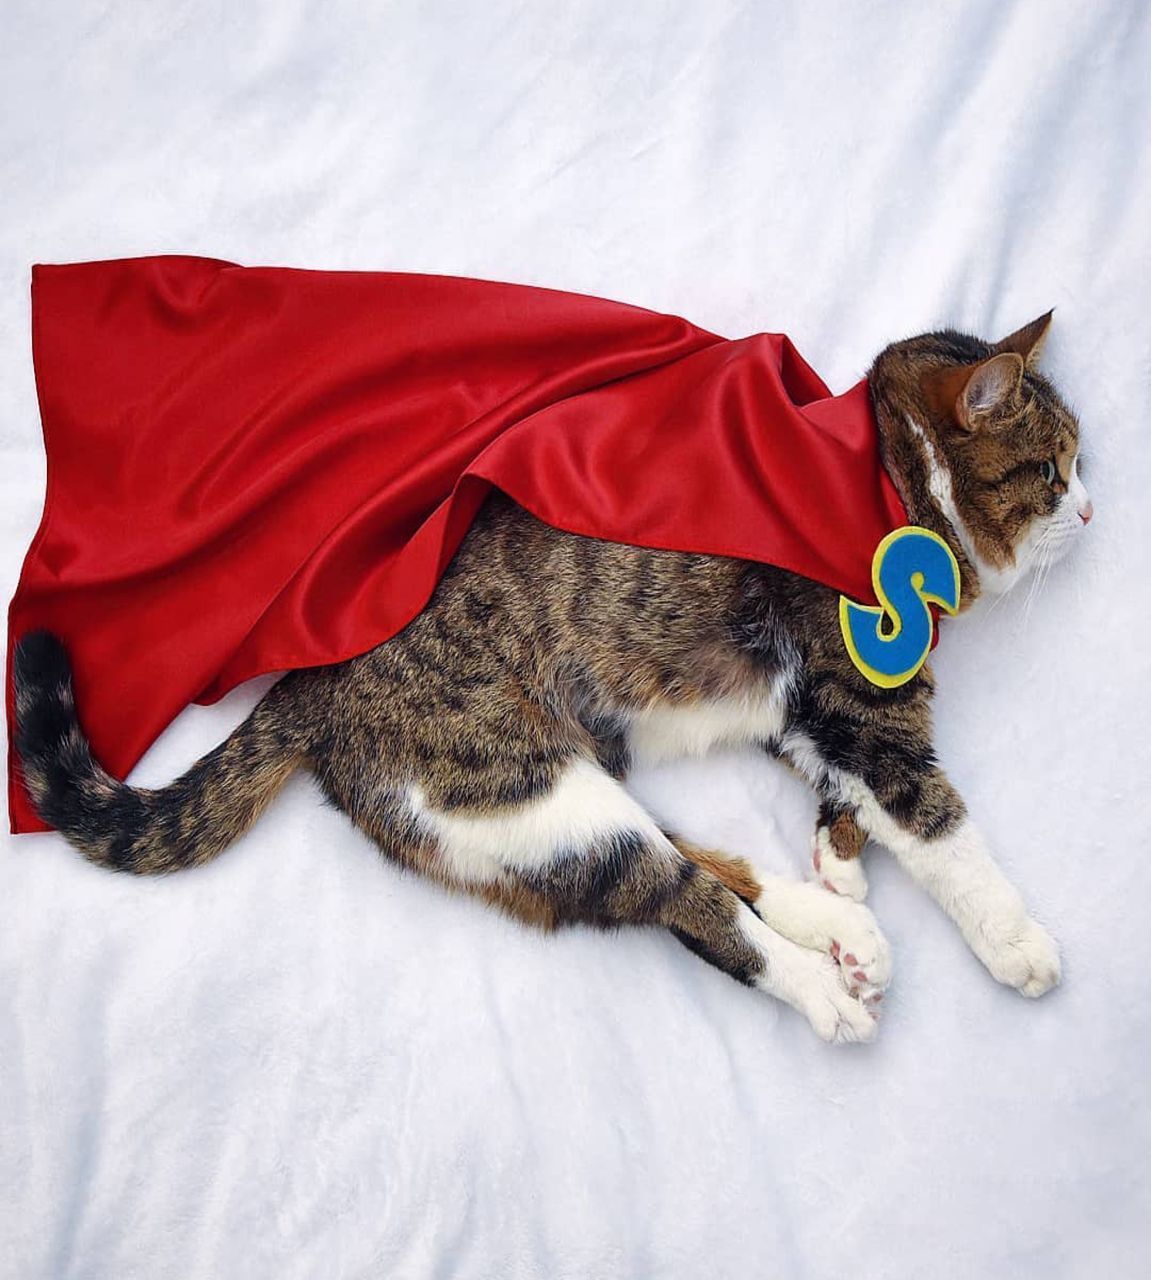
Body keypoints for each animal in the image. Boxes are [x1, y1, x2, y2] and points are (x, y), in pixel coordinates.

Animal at [11, 307, 1090, 1039]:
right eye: (1053, 469)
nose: (1089, 508)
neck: (871, 476)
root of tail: (306, 685)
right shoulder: (860, 704)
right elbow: (939, 826)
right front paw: (1015, 940)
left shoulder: (810, 709)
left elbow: (842, 789)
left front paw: (835, 858)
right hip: (524, 784)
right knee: (683, 902)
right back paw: (824, 985)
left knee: (677, 866)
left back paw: (834, 926)